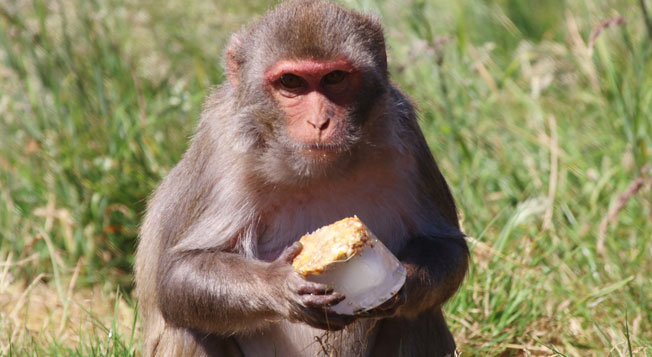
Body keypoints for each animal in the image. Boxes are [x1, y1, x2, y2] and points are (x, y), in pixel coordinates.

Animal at [135, 1, 466, 354]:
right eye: (291, 82)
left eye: (334, 77)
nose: (319, 122)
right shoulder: (223, 148)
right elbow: (176, 276)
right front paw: (279, 285)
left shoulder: (405, 133)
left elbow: (447, 246)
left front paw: (403, 284)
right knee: (188, 330)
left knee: (417, 315)